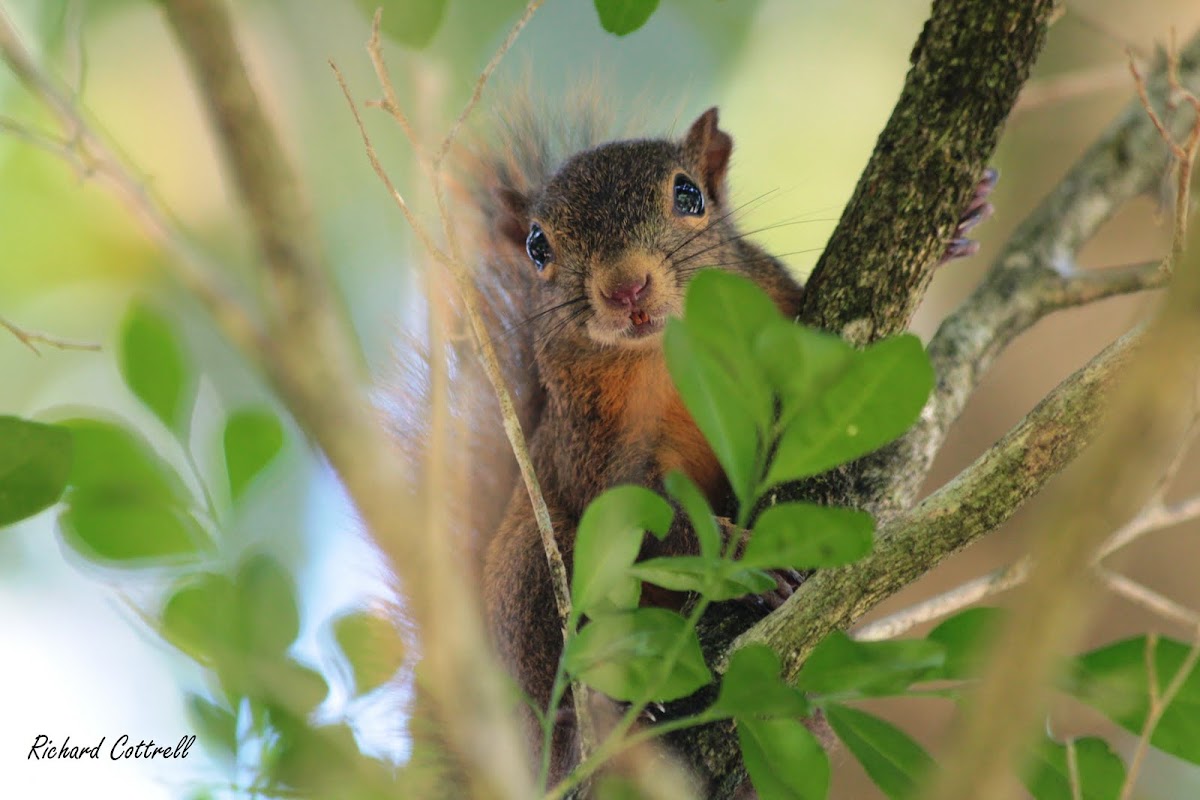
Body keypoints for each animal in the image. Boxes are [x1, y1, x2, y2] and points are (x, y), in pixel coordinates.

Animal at [427, 97, 998, 791]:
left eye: (689, 195)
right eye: (537, 246)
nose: (626, 288)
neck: (666, 352)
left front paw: (956, 226)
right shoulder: (586, 441)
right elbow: (642, 511)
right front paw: (735, 553)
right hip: (532, 574)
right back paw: (579, 728)